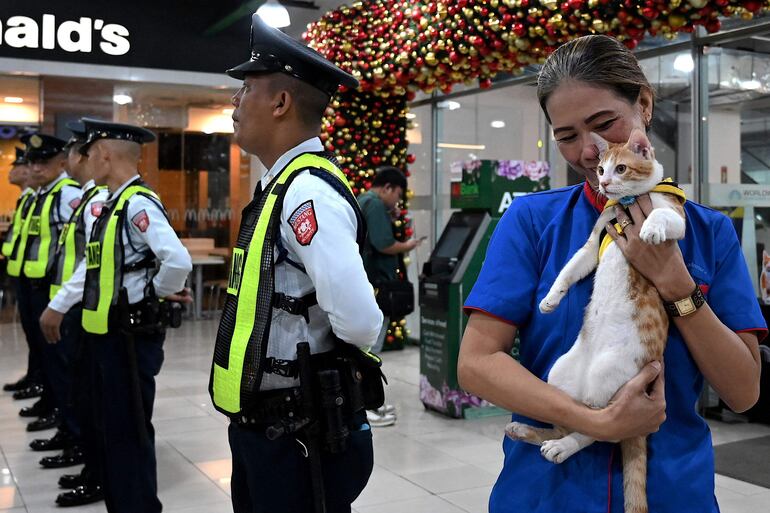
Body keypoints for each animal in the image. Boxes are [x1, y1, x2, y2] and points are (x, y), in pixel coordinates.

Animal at [504, 129, 684, 512]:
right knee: (575, 419)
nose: (603, 182)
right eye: (601, 168)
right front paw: (549, 301)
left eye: (621, 168)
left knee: (600, 429)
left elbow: (662, 218)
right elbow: (570, 268)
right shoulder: (593, 241)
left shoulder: (677, 217)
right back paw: (529, 433)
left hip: (610, 374)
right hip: (560, 373)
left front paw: (650, 230)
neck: (629, 201)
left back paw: (560, 447)